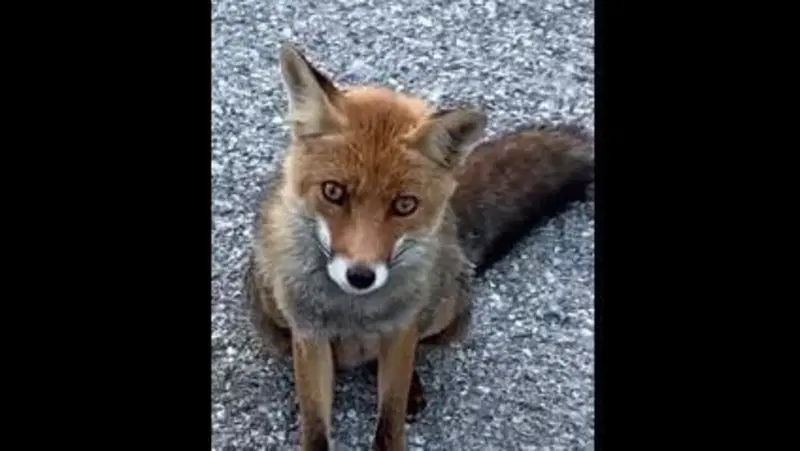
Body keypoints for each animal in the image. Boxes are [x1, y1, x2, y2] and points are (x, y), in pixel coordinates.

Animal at [244, 42, 594, 451]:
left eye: (404, 205)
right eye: (333, 192)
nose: (360, 276)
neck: (355, 312)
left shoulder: (402, 330)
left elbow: (390, 419)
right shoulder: (309, 333)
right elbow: (316, 426)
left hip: (445, 313)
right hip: (268, 307)